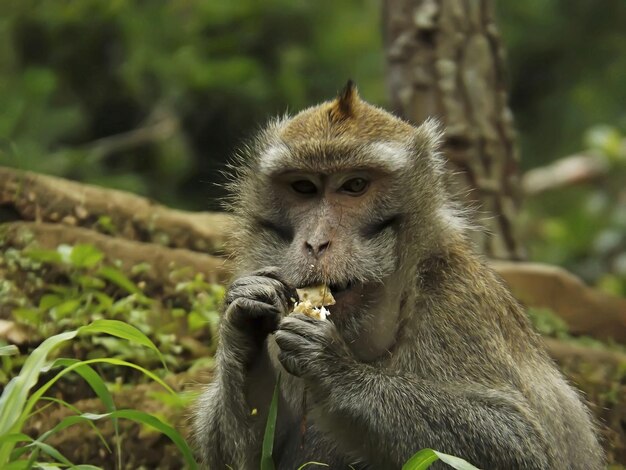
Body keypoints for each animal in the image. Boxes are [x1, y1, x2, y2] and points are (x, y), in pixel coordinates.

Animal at [193, 82, 604, 468]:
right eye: (304, 187)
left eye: (355, 185)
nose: (316, 242)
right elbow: (247, 460)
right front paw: (243, 318)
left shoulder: (456, 300)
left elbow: (520, 440)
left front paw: (334, 367)